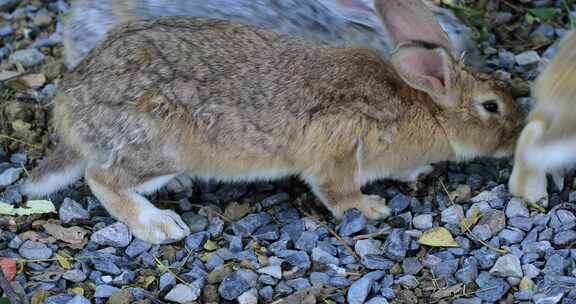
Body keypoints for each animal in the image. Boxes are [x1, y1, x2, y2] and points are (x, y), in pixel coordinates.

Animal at [23, 0, 520, 243]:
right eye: (491, 106)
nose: (516, 139)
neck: (423, 107)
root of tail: (71, 107)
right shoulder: (338, 142)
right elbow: (335, 189)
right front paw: (370, 208)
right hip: (159, 145)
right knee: (102, 177)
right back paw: (158, 226)